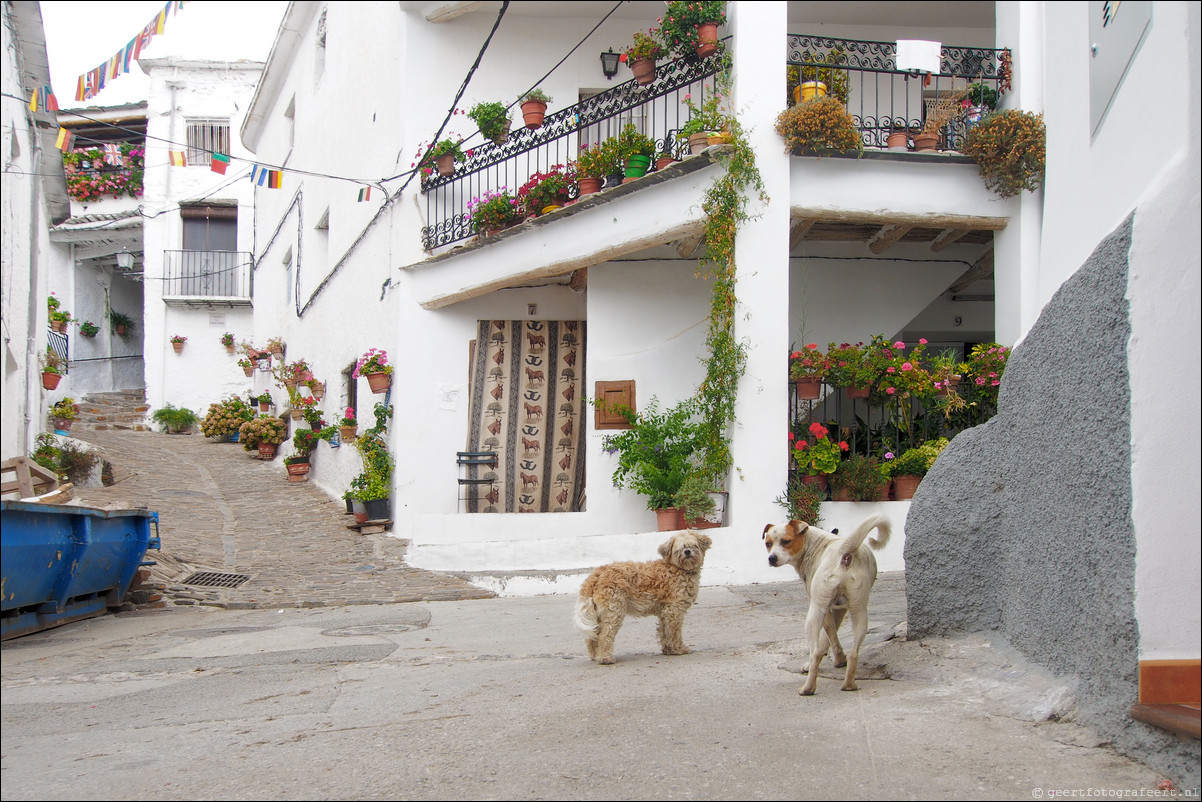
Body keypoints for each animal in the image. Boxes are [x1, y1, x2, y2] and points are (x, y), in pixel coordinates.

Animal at [764, 517, 889, 692]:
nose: (772, 558)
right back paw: (849, 684)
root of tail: (843, 552)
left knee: (814, 652)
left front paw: (832, 661)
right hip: (859, 612)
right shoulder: (840, 608)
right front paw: (840, 659)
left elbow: (827, 636)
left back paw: (808, 688)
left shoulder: (825, 609)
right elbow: (830, 637)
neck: (812, 543)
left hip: (813, 615)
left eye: (786, 541)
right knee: (854, 653)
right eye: (768, 543)